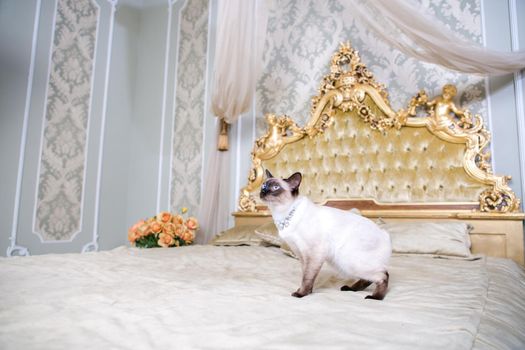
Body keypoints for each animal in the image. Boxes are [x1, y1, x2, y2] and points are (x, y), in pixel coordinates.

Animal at [260, 170, 390, 300]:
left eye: (275, 187)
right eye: (263, 186)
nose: (263, 191)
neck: (281, 215)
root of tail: (384, 233)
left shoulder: (314, 254)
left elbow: (307, 277)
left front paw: (301, 294)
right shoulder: (301, 254)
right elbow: (306, 275)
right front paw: (307, 291)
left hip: (349, 261)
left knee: (383, 275)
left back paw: (375, 297)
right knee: (370, 278)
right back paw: (351, 289)